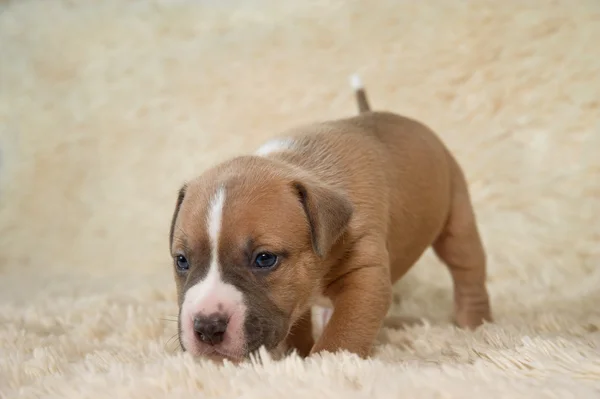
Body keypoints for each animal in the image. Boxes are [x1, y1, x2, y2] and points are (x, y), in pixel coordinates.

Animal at [169, 74, 492, 362]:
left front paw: (328, 362)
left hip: (457, 217)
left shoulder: (365, 277)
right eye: (182, 261)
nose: (207, 327)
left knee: (468, 271)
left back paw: (475, 326)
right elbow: (298, 324)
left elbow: (344, 332)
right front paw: (296, 355)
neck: (294, 164)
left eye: (264, 259)